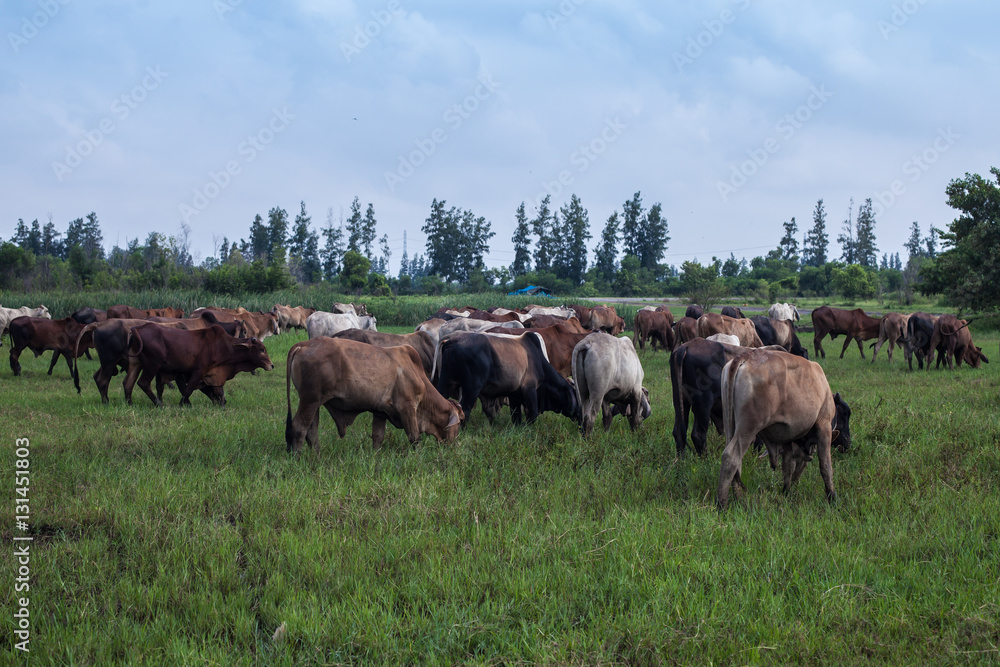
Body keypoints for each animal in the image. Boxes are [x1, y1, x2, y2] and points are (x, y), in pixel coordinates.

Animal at [124, 324, 274, 408]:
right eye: (261, 349)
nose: (271, 365)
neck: (225, 346)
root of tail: (138, 328)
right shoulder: (199, 371)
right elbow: (188, 390)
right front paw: (182, 405)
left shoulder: (212, 375)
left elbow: (219, 392)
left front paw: (222, 405)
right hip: (152, 365)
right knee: (143, 383)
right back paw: (159, 404)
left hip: (136, 364)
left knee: (128, 383)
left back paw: (129, 404)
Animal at [286, 340, 464, 454]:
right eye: (460, 421)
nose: (455, 445)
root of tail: (303, 345)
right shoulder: (408, 407)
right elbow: (414, 437)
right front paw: (418, 455)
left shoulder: (380, 411)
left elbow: (378, 437)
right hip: (310, 400)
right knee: (299, 427)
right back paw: (298, 457)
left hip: (313, 403)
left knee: (311, 431)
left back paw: (316, 455)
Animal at [720, 348, 852, 508]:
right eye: (845, 414)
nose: (848, 444)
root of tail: (745, 356)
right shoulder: (824, 425)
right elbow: (825, 465)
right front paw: (832, 496)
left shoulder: (788, 439)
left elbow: (788, 465)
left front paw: (787, 491)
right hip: (748, 427)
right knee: (731, 457)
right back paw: (722, 503)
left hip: (730, 424)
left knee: (735, 460)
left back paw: (737, 496)